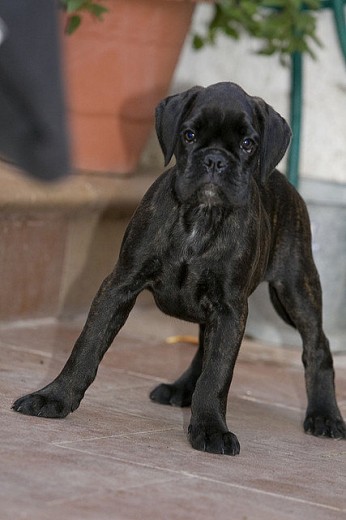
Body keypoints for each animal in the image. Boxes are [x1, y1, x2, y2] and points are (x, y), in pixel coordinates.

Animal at [12, 82, 344, 456]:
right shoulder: (120, 285)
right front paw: (53, 397)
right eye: (189, 135)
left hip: (294, 290)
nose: (215, 160)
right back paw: (181, 390)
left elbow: (218, 372)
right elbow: (87, 346)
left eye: (248, 143)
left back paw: (324, 415)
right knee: (201, 350)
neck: (200, 215)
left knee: (317, 345)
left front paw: (211, 428)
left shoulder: (230, 309)